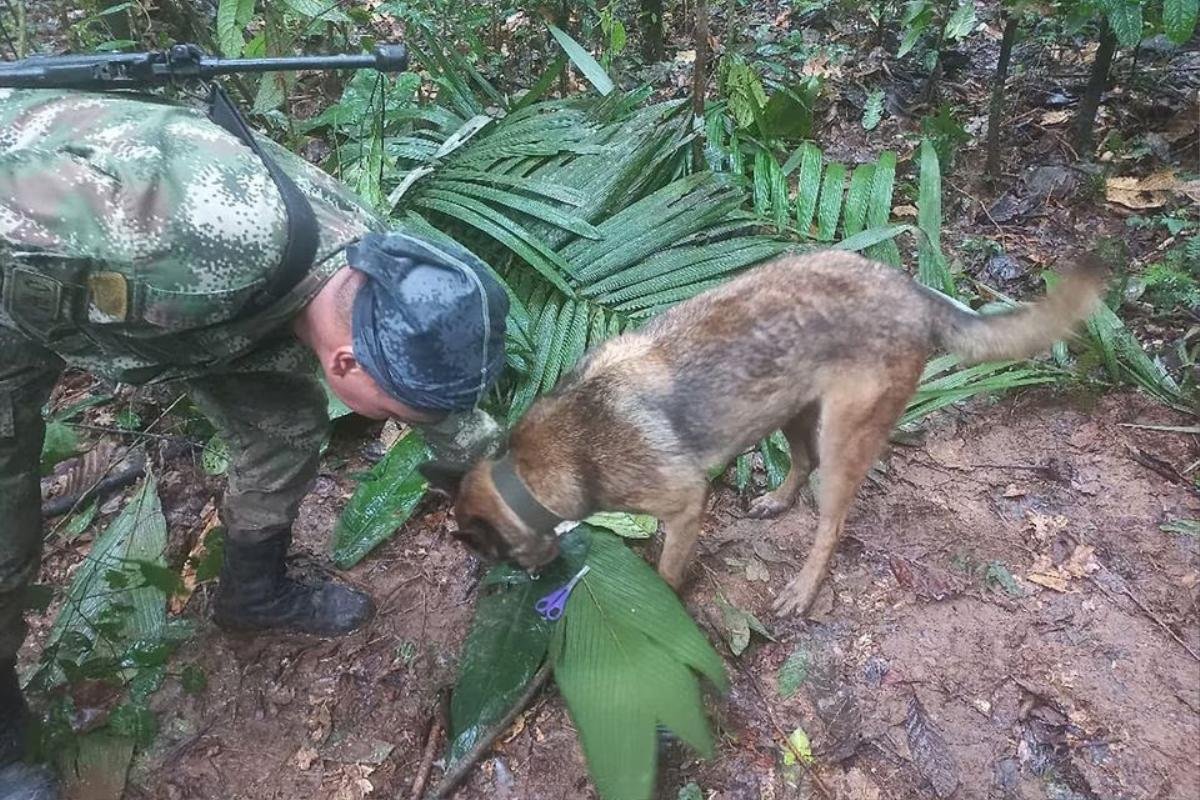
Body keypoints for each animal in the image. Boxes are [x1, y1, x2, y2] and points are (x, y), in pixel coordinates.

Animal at [444, 253, 1104, 618]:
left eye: (491, 554)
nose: (532, 583)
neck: (531, 468)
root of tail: (912, 290)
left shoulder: (685, 506)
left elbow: (667, 572)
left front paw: (661, 605)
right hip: (790, 407)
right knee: (802, 462)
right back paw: (777, 501)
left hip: (843, 438)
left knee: (831, 522)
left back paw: (803, 590)